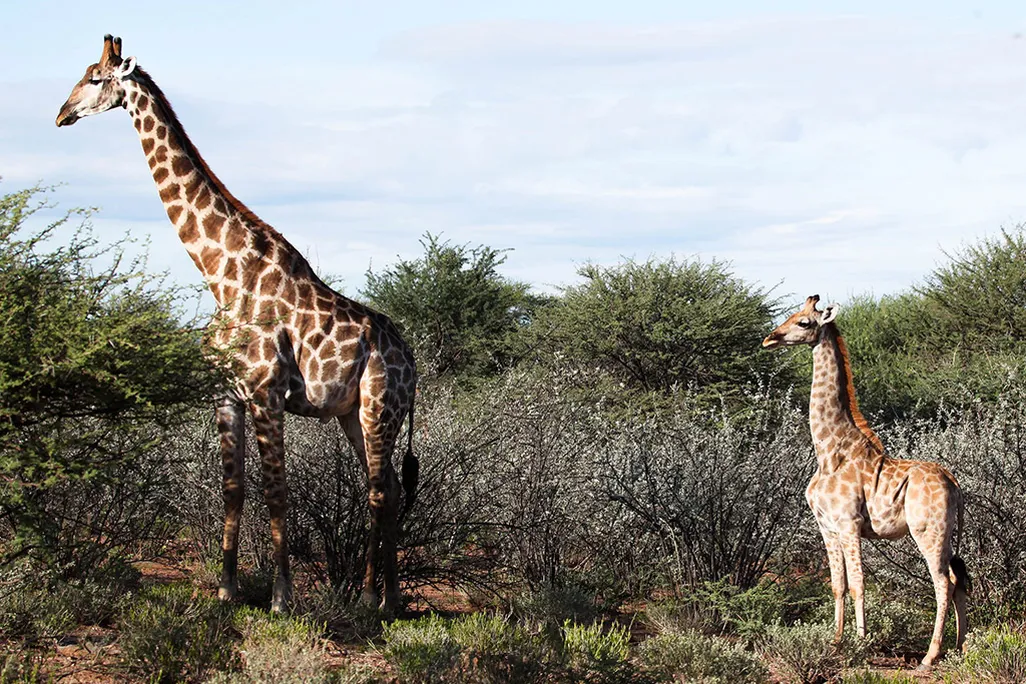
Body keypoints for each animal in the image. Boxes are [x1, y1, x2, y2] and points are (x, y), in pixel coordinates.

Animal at [55, 35, 419, 614]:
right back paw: (384, 598)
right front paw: (226, 590)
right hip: (351, 414)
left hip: (379, 407)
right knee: (383, 490)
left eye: (93, 79)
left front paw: (281, 598)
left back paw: (374, 599)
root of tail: (412, 360)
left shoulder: (267, 394)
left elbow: (276, 492)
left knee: (380, 491)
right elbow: (234, 489)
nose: (61, 114)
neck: (221, 276)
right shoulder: (226, 395)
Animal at [762, 295, 969, 668]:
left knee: (943, 582)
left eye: (803, 322)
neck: (829, 451)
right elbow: (837, 585)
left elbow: (859, 583)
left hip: (928, 531)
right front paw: (835, 642)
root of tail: (954, 483)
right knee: (959, 579)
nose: (770, 338)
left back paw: (930, 655)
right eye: (792, 315)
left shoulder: (849, 524)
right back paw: (958, 648)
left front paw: (859, 644)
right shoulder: (826, 527)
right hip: (945, 534)